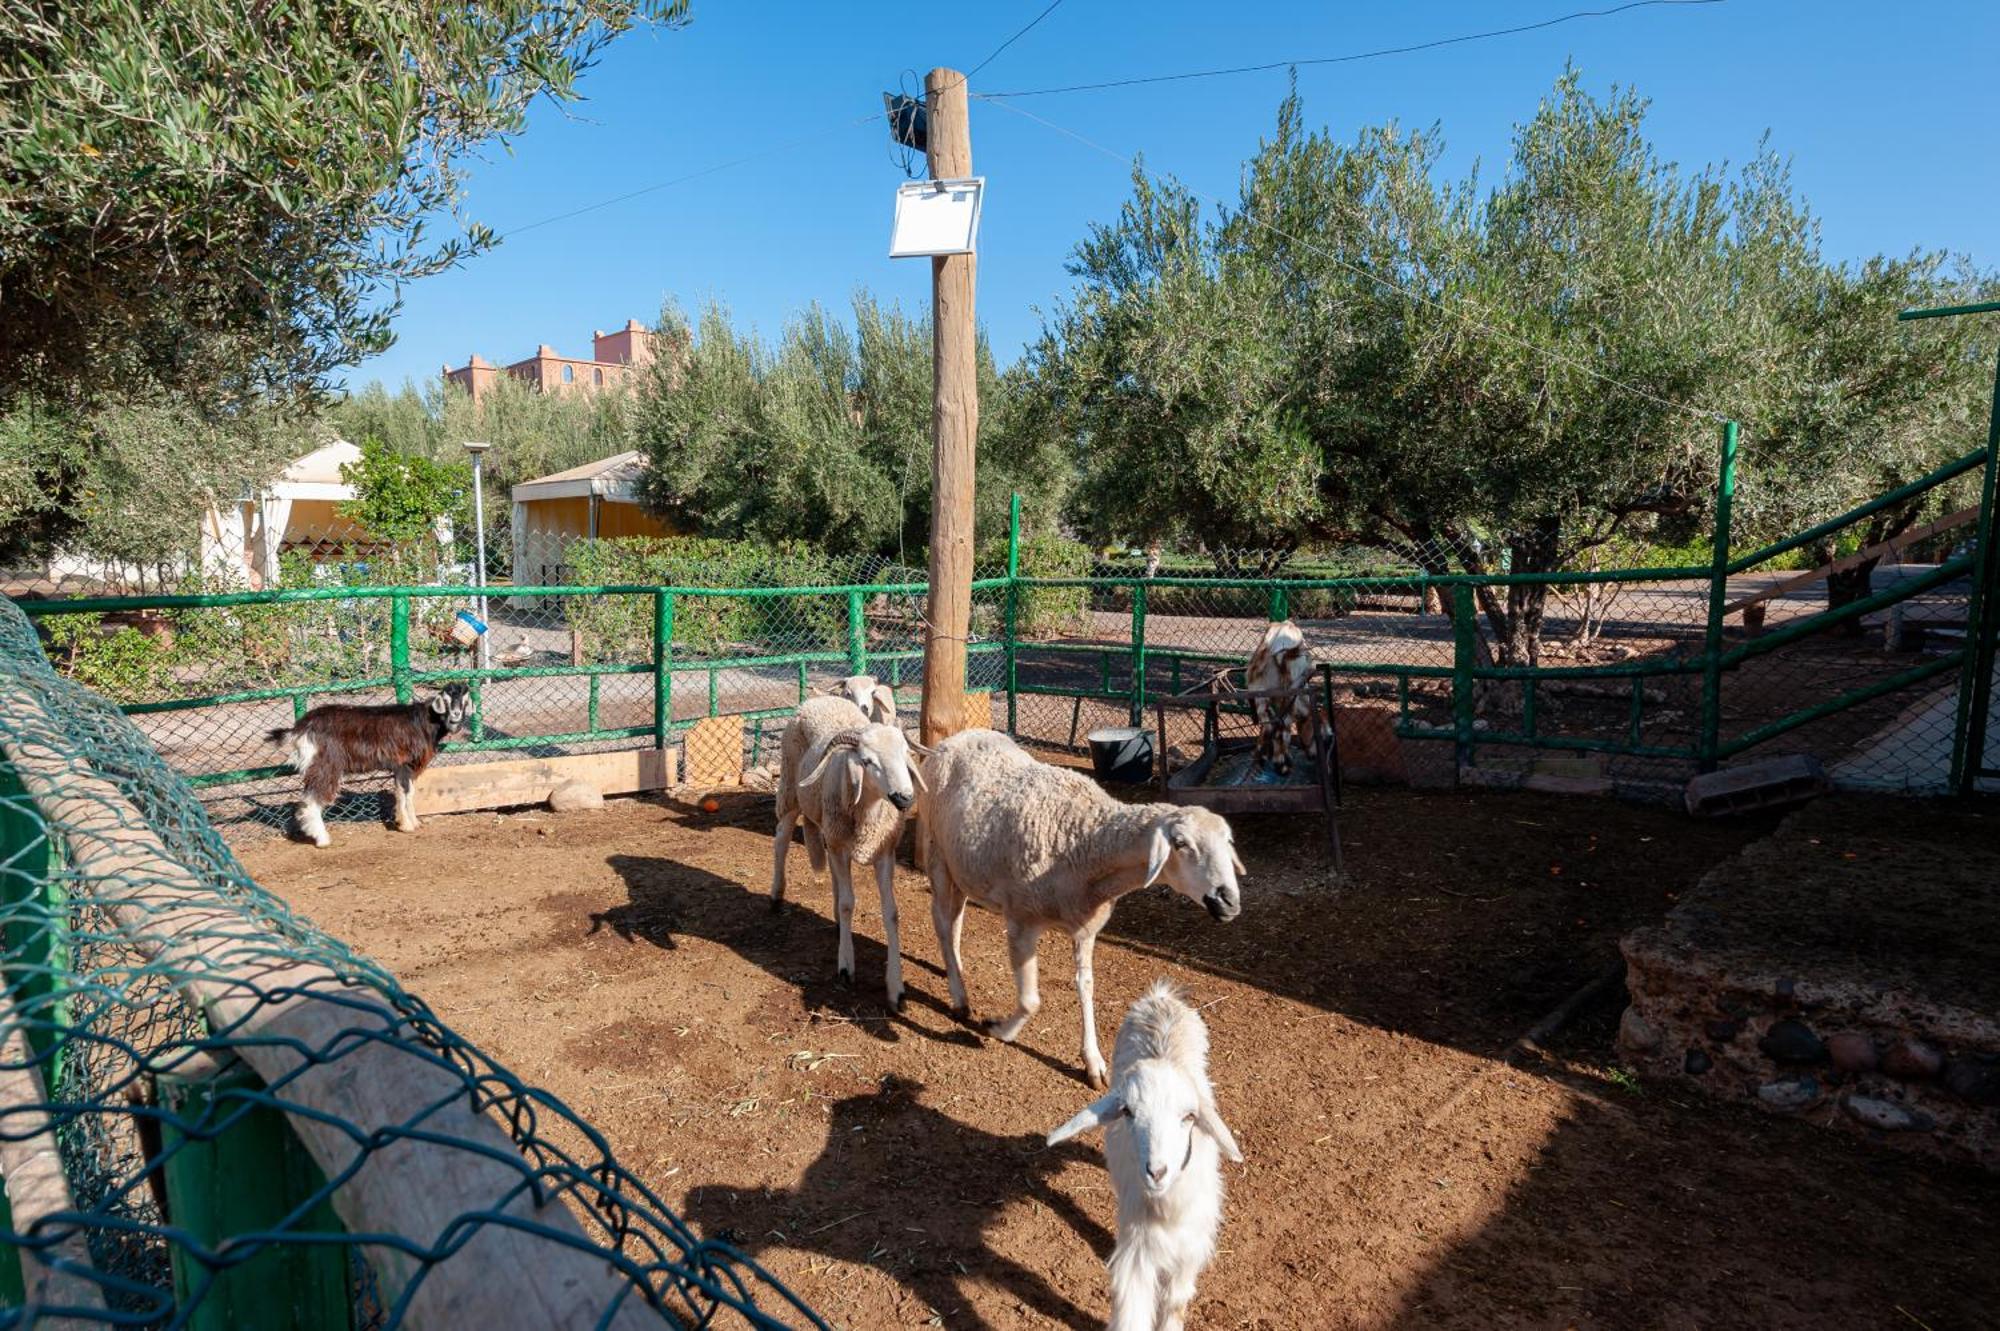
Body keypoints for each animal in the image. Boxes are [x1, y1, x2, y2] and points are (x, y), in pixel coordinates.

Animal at [266, 683, 472, 839]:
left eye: (464, 700)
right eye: (446, 699)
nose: (455, 715)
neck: (423, 721)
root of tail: (300, 728)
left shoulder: (402, 768)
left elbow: (406, 793)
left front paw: (411, 822)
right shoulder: (404, 764)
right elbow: (405, 793)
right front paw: (407, 826)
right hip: (325, 764)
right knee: (313, 798)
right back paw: (322, 838)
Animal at [768, 695, 924, 1007]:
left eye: (905, 754)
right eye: (867, 761)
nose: (904, 798)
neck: (868, 811)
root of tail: (820, 698)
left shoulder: (884, 851)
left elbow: (891, 912)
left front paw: (896, 987)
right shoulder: (842, 846)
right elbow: (849, 903)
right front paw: (845, 965)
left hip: (828, 827)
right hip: (790, 789)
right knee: (781, 840)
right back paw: (777, 895)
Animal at [916, 727, 1232, 1087]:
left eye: (1228, 842)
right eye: (1181, 844)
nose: (1229, 900)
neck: (1088, 843)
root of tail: (951, 740)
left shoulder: (1085, 925)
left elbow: (1086, 987)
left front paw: (1093, 1062)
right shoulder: (1022, 919)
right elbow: (1030, 1000)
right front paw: (1001, 1030)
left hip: (965, 865)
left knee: (955, 918)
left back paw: (954, 966)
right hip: (937, 851)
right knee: (942, 921)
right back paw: (958, 996)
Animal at [1048, 975, 1232, 1327]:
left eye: (1189, 1116)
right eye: (1127, 1112)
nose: (1156, 1171)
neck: (1166, 1210)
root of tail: (1159, 998)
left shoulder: (1190, 1249)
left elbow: (1175, 1303)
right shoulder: (1136, 1253)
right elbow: (1132, 1310)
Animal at [1240, 615, 1320, 771]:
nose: (1313, 756)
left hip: (1261, 691)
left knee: (1269, 724)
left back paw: (1263, 759)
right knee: (1283, 722)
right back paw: (1280, 763)